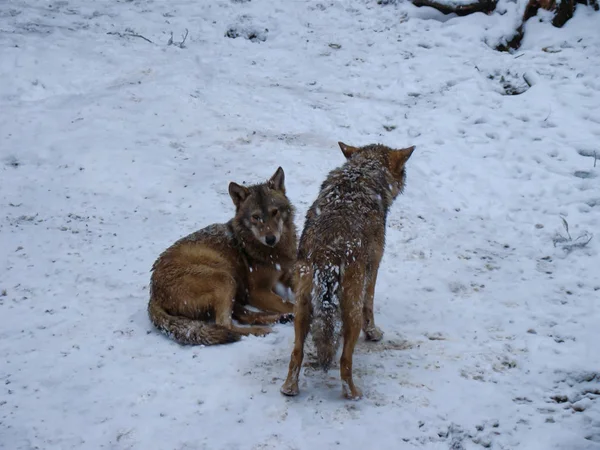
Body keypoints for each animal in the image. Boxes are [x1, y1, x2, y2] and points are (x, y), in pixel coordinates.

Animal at [148, 167, 298, 346]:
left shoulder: (288, 274)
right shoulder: (257, 292)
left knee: (242, 315)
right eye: (255, 217)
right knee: (225, 325)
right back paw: (260, 330)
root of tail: (153, 295)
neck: (275, 252)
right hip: (225, 279)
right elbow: (291, 304)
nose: (270, 239)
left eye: (274, 212)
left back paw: (281, 319)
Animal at [280, 142, 412, 400]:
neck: (360, 175)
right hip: (351, 312)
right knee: (344, 361)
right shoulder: (373, 270)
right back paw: (353, 393)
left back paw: (289, 389)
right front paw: (374, 334)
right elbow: (370, 306)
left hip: (301, 309)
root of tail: (328, 252)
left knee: (296, 353)